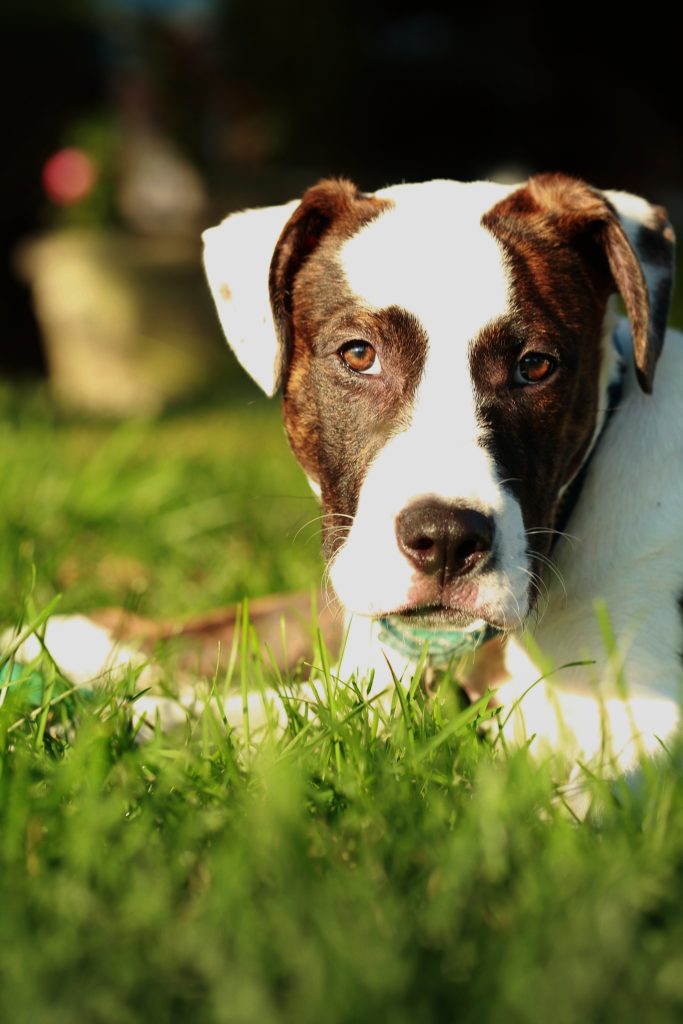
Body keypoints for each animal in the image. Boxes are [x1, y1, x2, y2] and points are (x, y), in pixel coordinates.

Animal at [201, 172, 679, 770]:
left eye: (535, 365)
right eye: (359, 354)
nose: (447, 539)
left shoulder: (646, 739)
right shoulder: (355, 691)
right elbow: (221, 714)